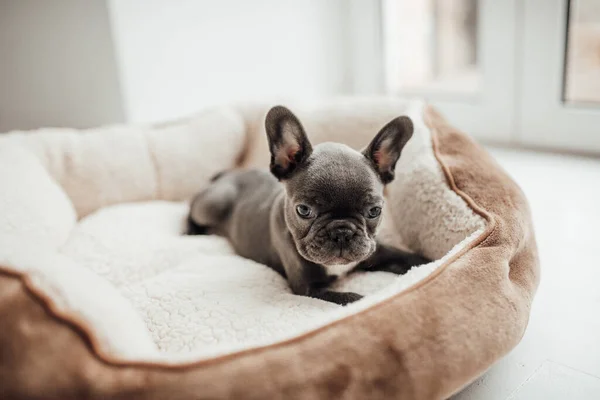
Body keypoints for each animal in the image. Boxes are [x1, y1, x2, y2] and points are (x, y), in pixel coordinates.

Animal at [188, 106, 426, 306]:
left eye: (374, 211)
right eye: (304, 210)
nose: (342, 232)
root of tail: (226, 175)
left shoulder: (374, 251)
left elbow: (408, 257)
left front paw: (429, 262)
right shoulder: (309, 288)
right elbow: (355, 298)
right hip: (213, 204)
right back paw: (193, 231)